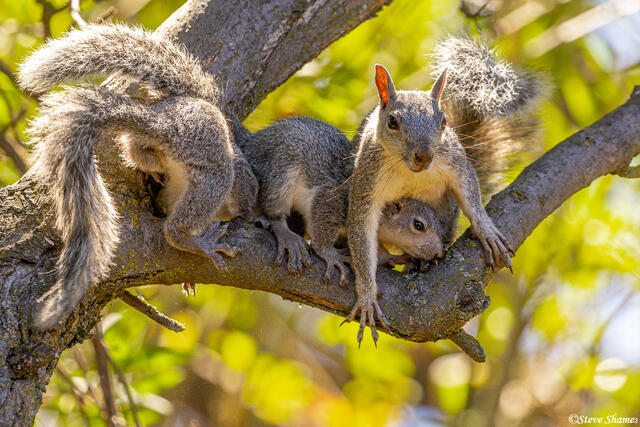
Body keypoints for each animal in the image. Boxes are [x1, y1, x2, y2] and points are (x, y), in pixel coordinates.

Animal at [18, 23, 258, 330]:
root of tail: (166, 124)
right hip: (212, 168)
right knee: (177, 224)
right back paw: (197, 242)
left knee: (133, 147)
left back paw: (153, 168)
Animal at [235, 116, 448, 283]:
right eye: (418, 225)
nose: (438, 252)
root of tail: (251, 144)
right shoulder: (335, 200)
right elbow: (321, 228)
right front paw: (330, 254)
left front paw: (393, 258)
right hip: (282, 165)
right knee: (275, 208)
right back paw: (284, 232)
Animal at [344, 36, 546, 345]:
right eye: (392, 122)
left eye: (444, 122)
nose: (424, 156)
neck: (410, 171)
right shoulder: (366, 181)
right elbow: (361, 231)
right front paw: (366, 294)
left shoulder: (455, 162)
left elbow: (470, 194)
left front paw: (486, 230)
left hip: (446, 210)